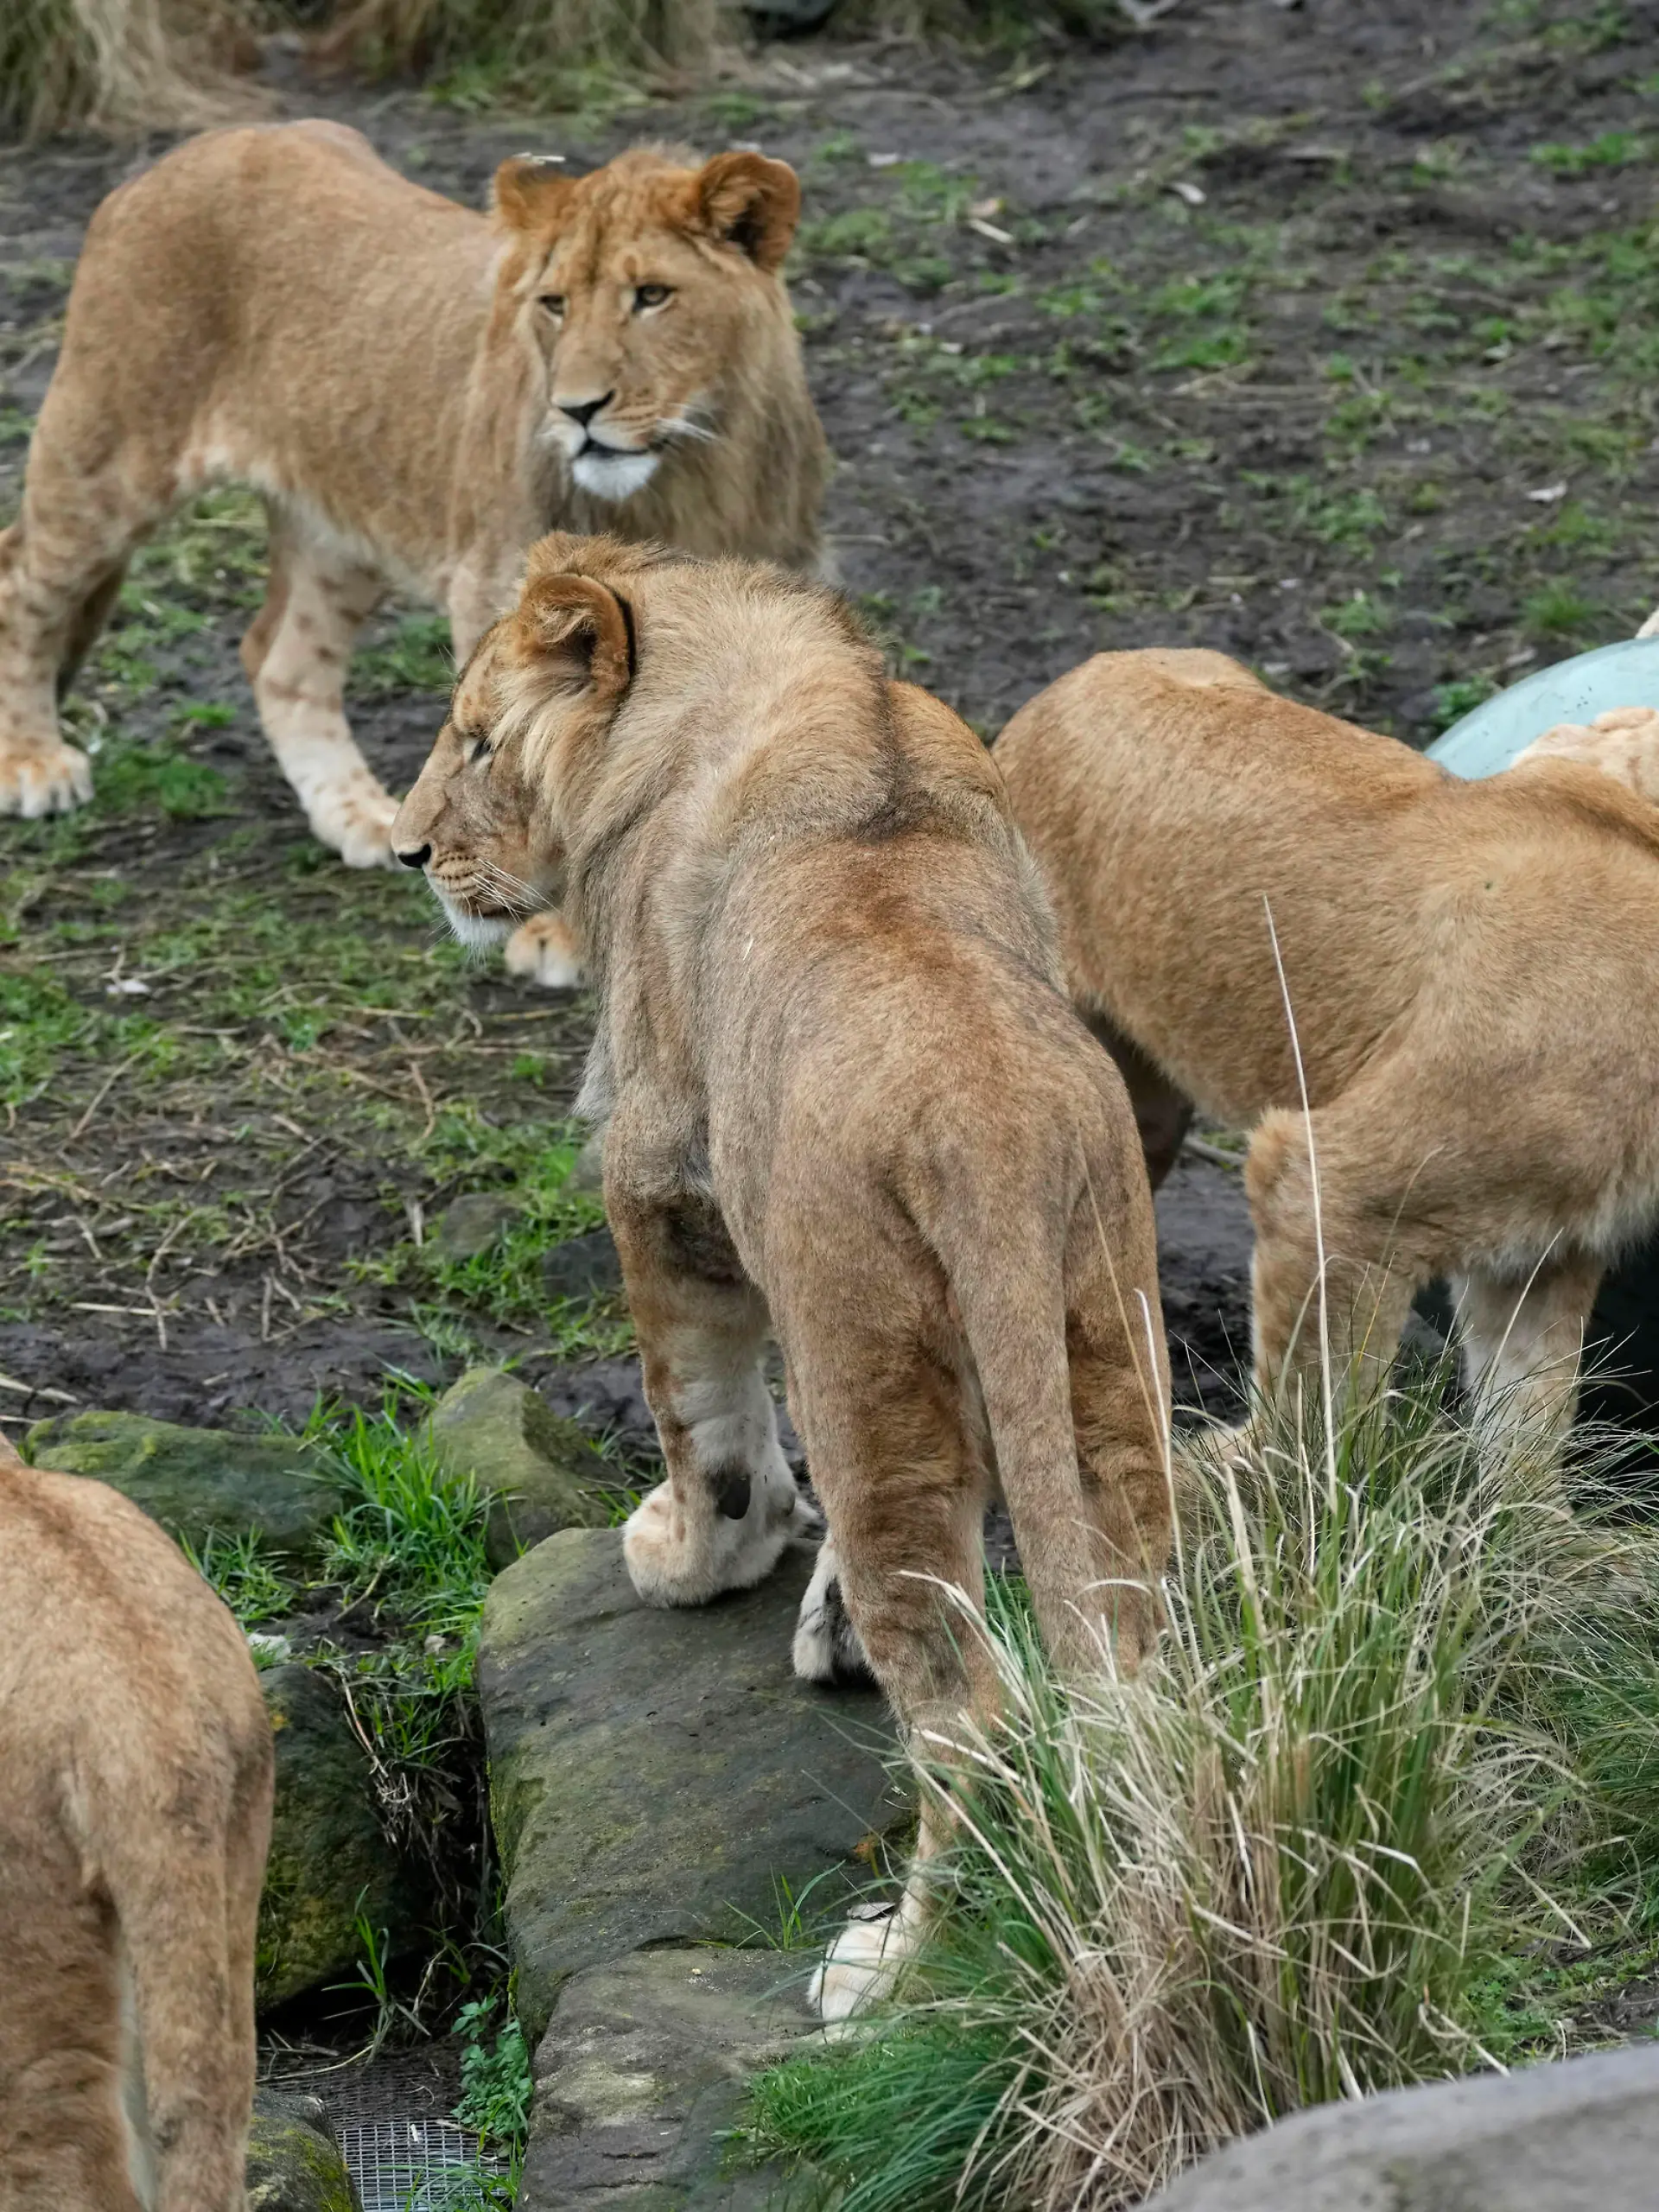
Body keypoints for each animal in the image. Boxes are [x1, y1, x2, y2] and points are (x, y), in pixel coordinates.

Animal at [0, 121, 825, 986]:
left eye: (654, 296)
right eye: (554, 304)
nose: (575, 410)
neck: (688, 471)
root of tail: (196, 146)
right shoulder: (499, 591)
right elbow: (534, 766)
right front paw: (554, 935)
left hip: (339, 528)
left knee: (280, 659)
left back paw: (354, 812)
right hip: (107, 456)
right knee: (21, 576)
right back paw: (31, 763)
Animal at [390, 533, 1172, 2019]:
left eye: (473, 740)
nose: (408, 852)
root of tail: (987, 1128)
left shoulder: (659, 1171)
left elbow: (702, 1411)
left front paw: (689, 1556)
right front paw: (823, 1623)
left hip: (861, 1351)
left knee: (974, 1717)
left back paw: (888, 1972)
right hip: (1101, 1347)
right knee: (1131, 1653)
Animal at [994, 647, 1659, 1452]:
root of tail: (1078, 674)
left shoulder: (1544, 1251)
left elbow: (1528, 1428)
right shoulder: (1330, 1186)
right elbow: (1313, 1414)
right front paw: (1245, 1475)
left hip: (1146, 1118)